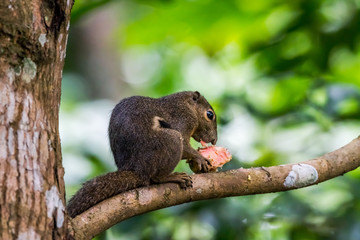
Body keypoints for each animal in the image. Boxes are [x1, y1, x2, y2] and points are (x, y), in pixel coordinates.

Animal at [65, 90, 217, 218]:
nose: (214, 140)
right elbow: (185, 145)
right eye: (210, 114)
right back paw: (173, 177)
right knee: (156, 177)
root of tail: (138, 171)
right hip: (171, 140)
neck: (186, 104)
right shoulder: (183, 119)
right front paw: (200, 158)